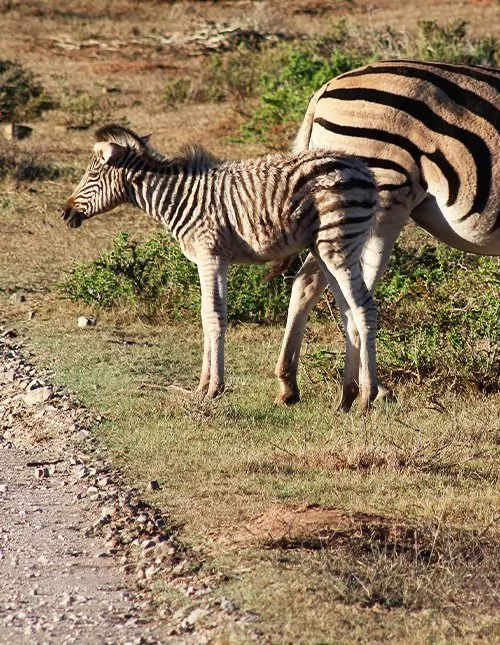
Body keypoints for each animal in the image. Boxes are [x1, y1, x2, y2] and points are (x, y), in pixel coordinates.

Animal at [63, 124, 382, 410]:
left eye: (92, 175)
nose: (65, 213)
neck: (179, 199)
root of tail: (363, 170)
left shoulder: (210, 255)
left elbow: (214, 316)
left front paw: (213, 389)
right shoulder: (212, 260)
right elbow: (207, 316)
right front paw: (202, 387)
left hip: (338, 245)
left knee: (364, 309)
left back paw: (367, 399)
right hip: (325, 249)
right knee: (349, 314)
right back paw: (346, 399)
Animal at [274, 57, 500, 406]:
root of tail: (325, 88)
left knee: (309, 282)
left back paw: (297, 385)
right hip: (378, 207)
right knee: (356, 300)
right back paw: (365, 391)